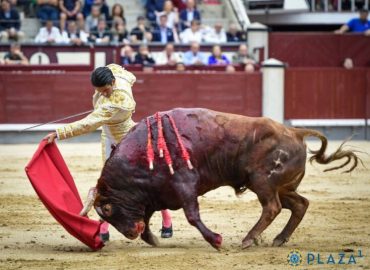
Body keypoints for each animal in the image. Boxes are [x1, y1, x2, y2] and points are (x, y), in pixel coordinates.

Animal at [86, 107, 358, 249]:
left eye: (107, 208)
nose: (130, 233)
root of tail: (294, 131)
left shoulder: (185, 185)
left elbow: (192, 216)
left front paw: (216, 240)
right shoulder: (154, 195)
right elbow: (148, 218)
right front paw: (152, 239)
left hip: (262, 182)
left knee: (272, 207)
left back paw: (248, 239)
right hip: (279, 186)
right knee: (300, 204)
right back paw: (279, 239)